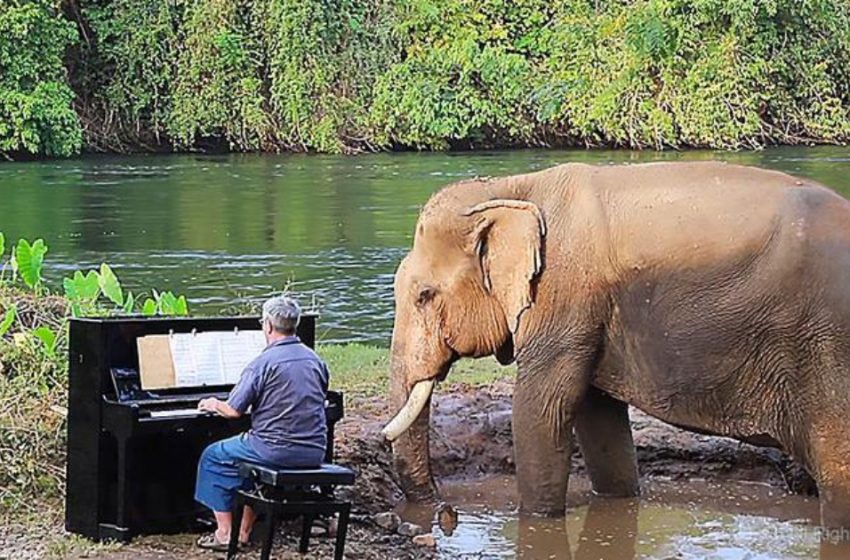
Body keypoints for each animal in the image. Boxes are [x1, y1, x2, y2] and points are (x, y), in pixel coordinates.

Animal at [380, 161, 848, 528]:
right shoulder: (591, 316)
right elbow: (596, 413)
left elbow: (541, 410)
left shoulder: (564, 297)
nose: (446, 512)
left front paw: (535, 520)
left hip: (828, 351)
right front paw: (617, 499)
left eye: (424, 296)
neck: (512, 188)